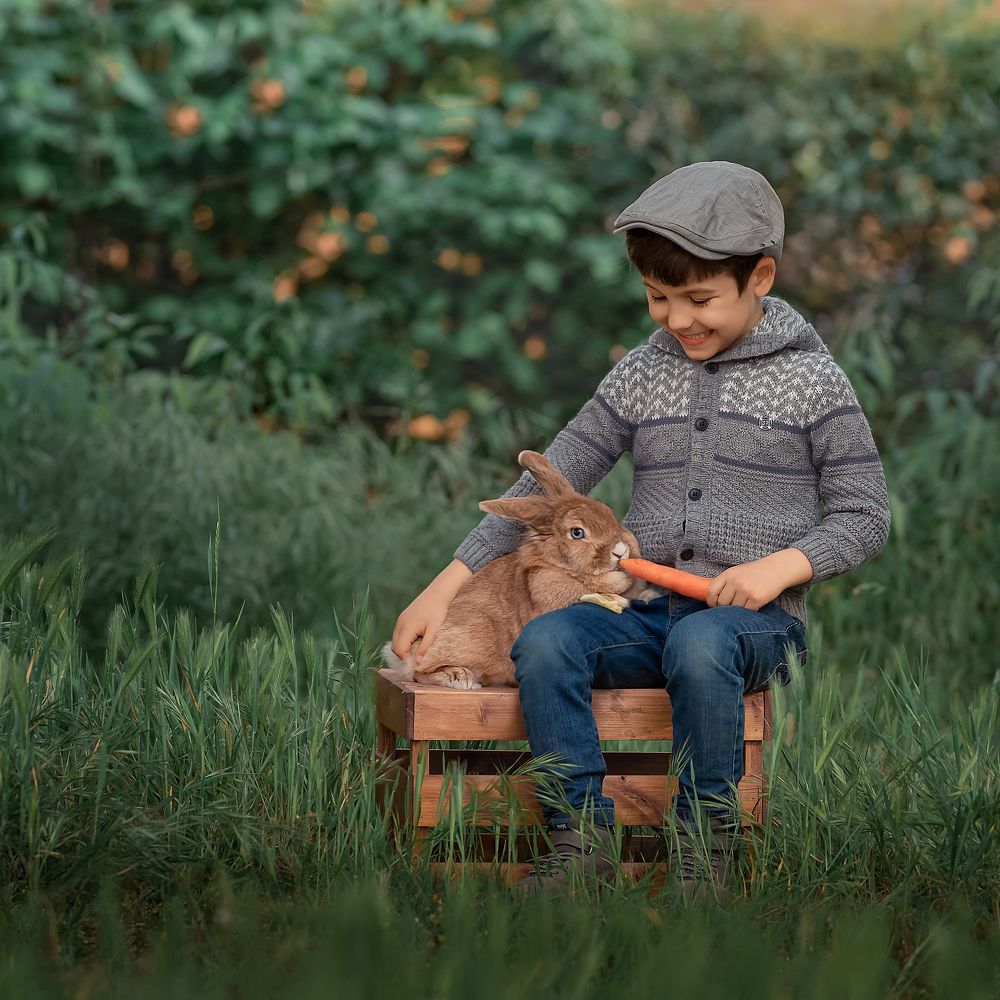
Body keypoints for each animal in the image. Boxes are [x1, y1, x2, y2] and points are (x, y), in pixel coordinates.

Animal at [380, 449, 666, 689]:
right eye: (577, 533)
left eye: (609, 514)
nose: (621, 550)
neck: (558, 565)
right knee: (419, 672)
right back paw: (459, 678)